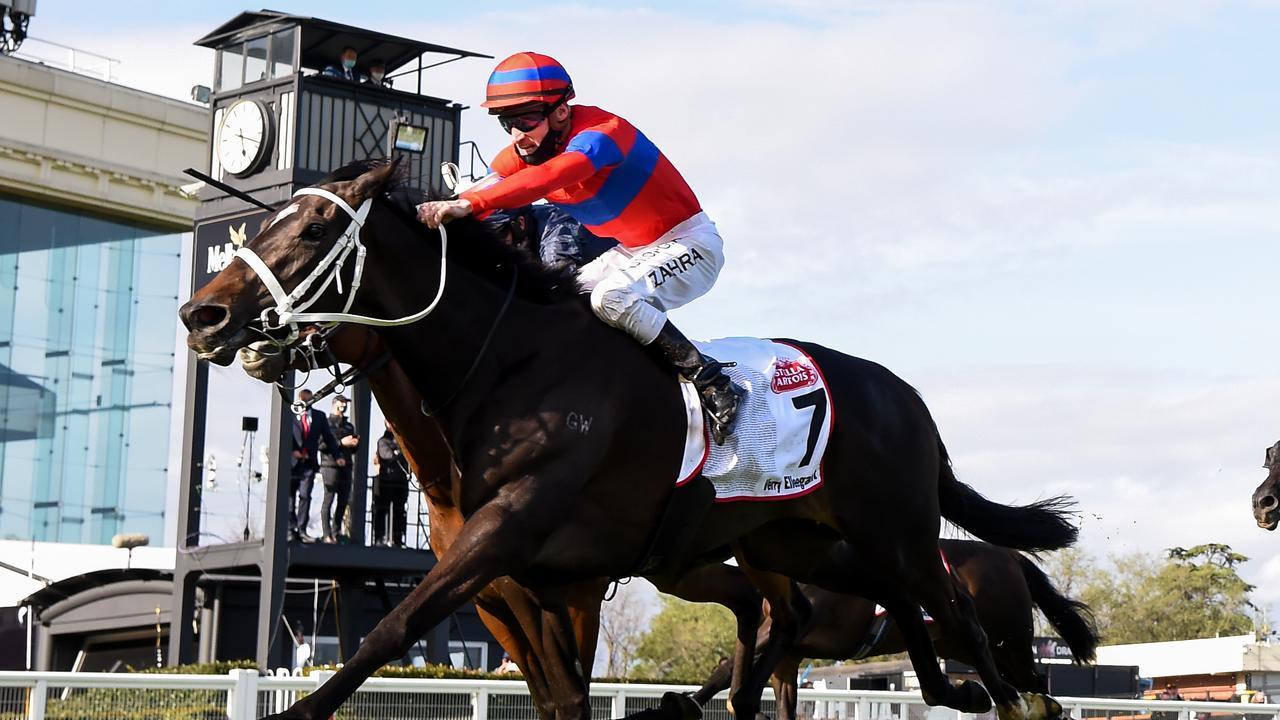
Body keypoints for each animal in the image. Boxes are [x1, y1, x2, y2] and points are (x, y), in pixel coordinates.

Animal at [691, 538, 1100, 717]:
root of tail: (1011, 556)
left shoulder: (796, 630)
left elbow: (727, 667)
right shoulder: (788, 658)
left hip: (1011, 641)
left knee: (1034, 684)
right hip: (962, 646)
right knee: (1010, 685)